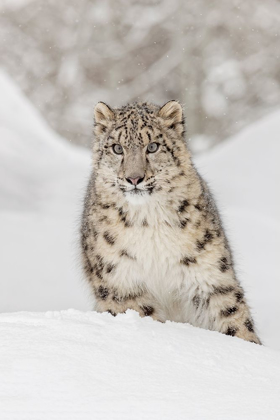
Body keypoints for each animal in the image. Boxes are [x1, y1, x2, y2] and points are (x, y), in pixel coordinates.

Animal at [80, 101, 260, 344]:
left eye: (153, 146)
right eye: (117, 148)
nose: (134, 178)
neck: (149, 221)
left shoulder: (210, 273)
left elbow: (235, 320)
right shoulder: (121, 281)